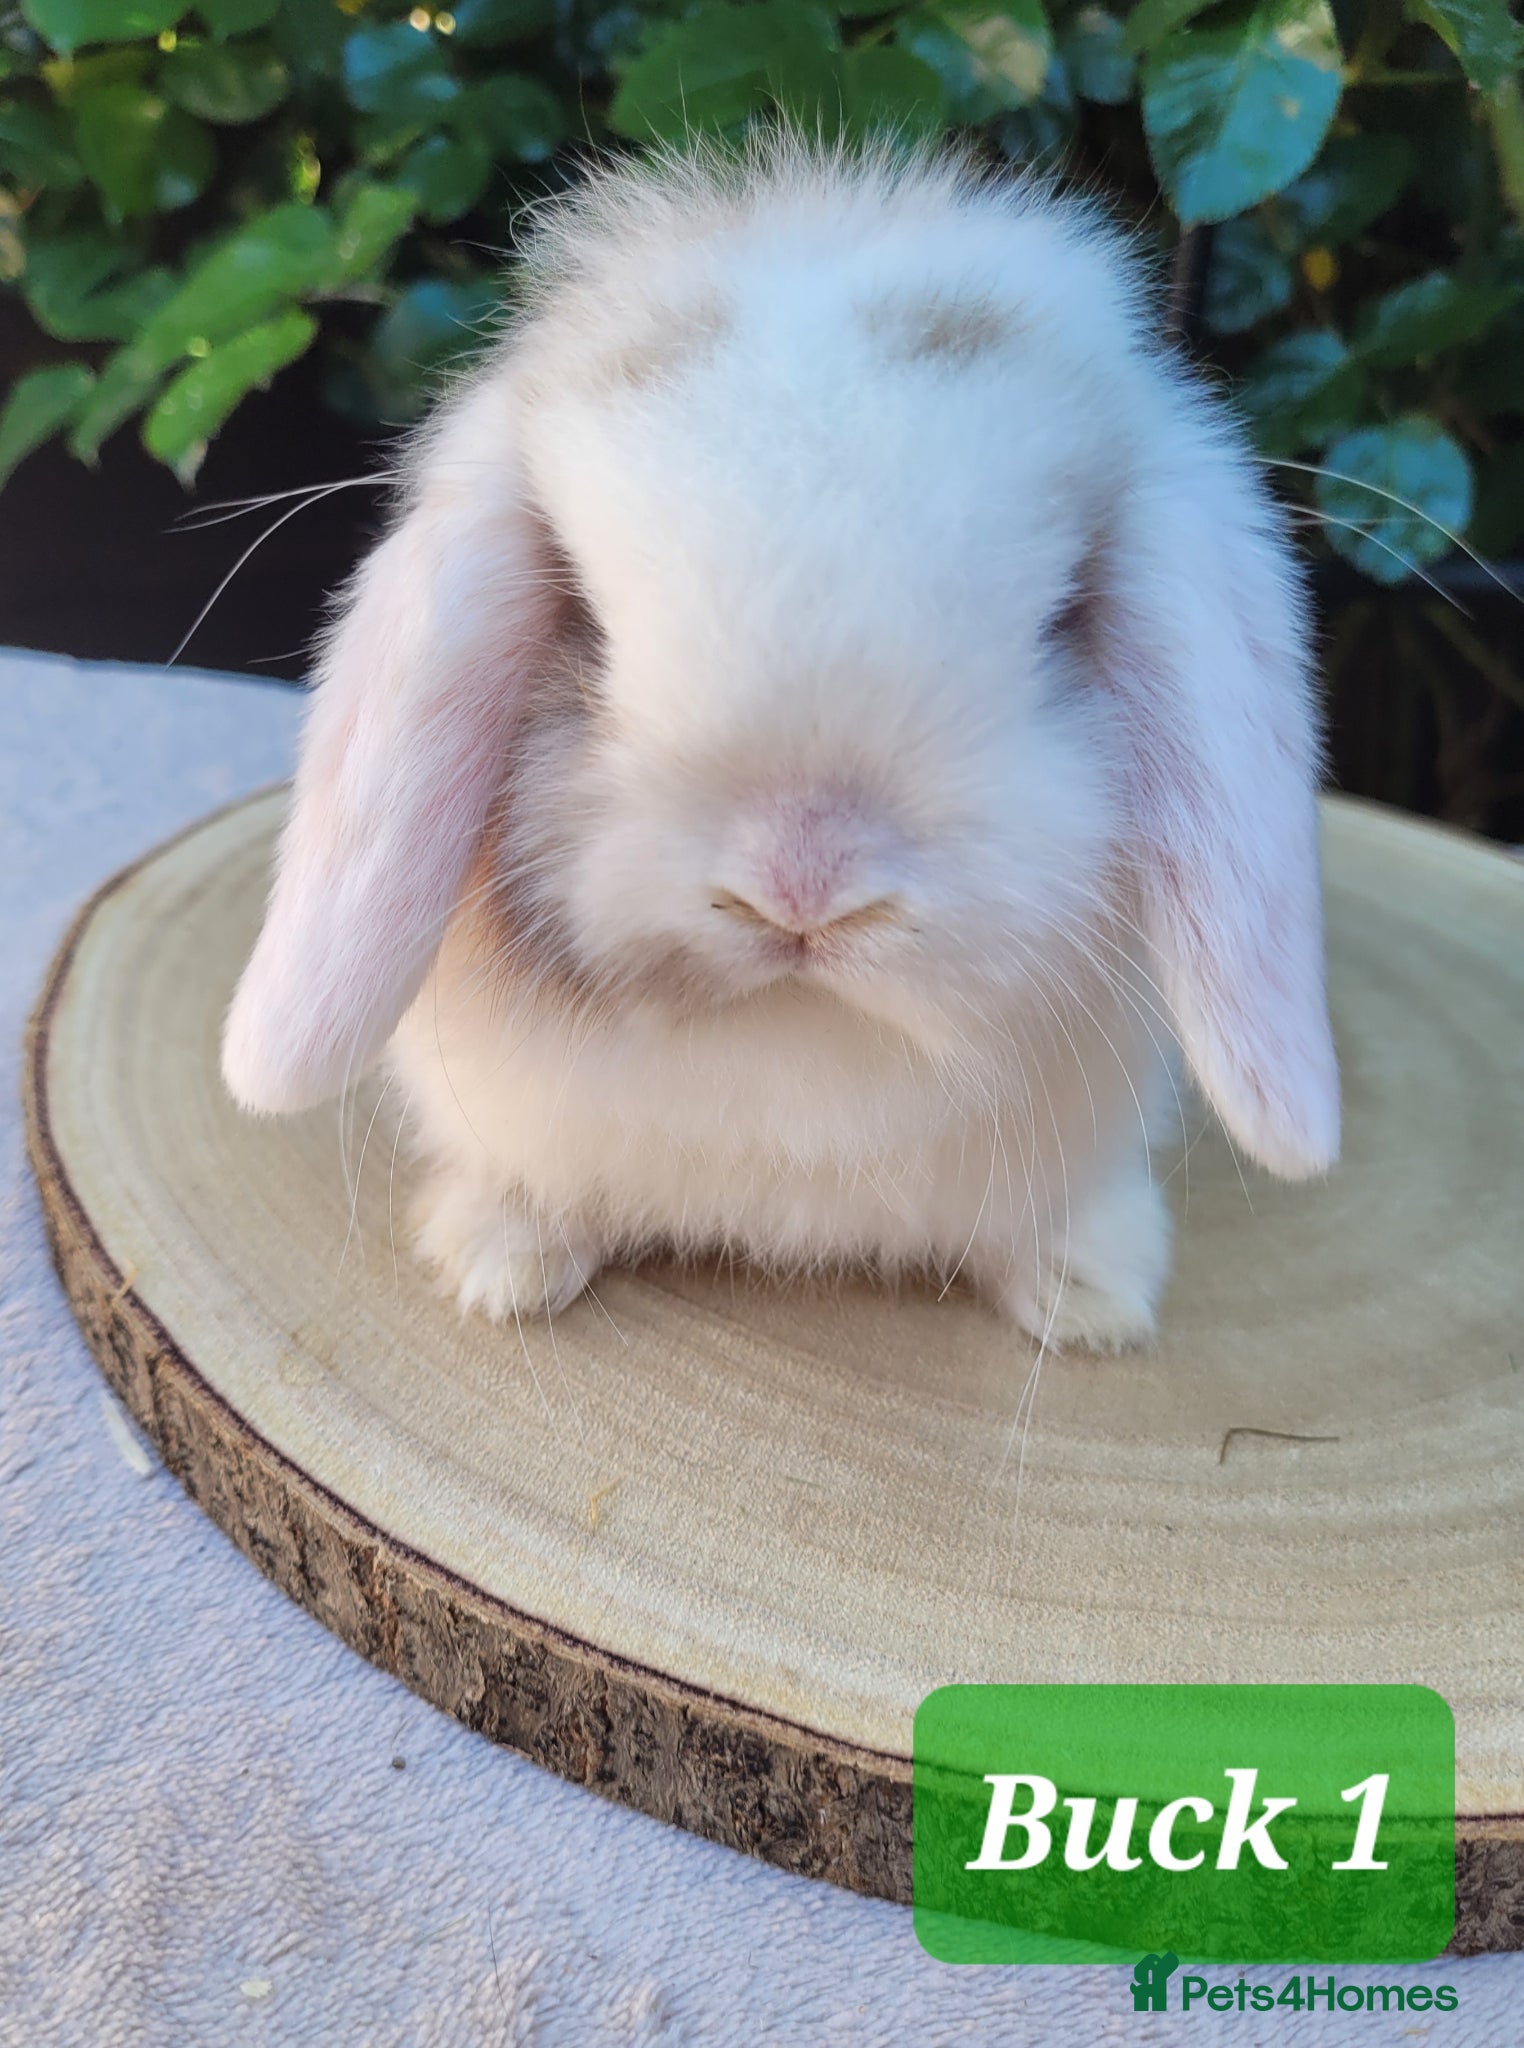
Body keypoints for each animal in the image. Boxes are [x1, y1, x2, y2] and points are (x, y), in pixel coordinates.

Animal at [221, 135, 1340, 1352]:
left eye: (1063, 616)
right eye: (586, 619)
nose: (802, 888)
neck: (800, 1037)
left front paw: (1093, 1301)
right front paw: (500, 1267)